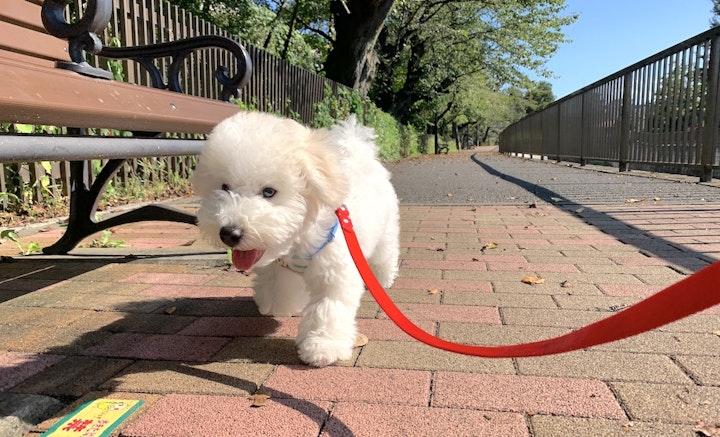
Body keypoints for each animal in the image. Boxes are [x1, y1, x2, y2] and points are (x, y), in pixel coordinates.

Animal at [191, 110, 400, 366]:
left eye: (269, 192)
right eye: (224, 187)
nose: (230, 233)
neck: (297, 242)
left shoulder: (334, 273)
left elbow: (328, 308)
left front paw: (323, 346)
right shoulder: (278, 268)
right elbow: (278, 287)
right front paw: (278, 305)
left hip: (386, 231)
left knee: (385, 254)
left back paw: (382, 279)